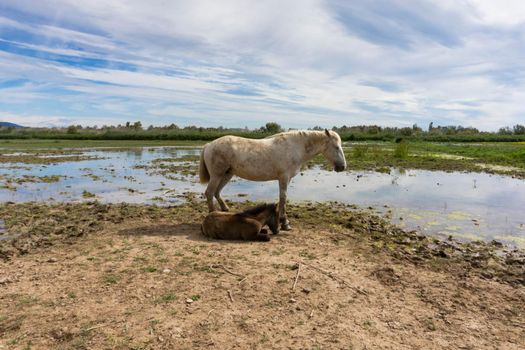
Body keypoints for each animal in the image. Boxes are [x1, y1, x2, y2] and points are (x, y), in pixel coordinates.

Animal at [199, 130, 346, 231]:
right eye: (336, 147)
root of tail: (209, 144)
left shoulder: (286, 179)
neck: (295, 147)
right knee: (209, 192)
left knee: (216, 192)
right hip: (217, 175)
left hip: (227, 175)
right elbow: (283, 198)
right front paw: (285, 223)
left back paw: (224, 209)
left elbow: (282, 199)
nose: (342, 167)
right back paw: (212, 213)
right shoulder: (284, 178)